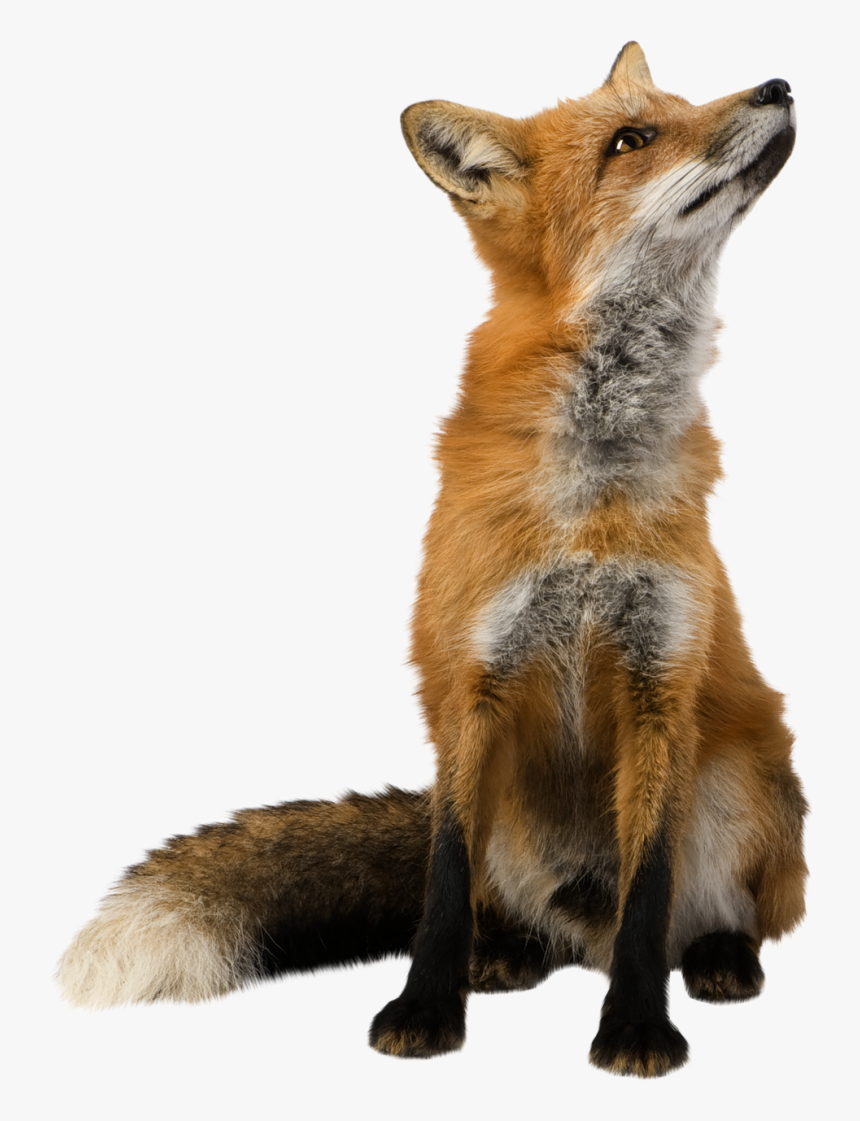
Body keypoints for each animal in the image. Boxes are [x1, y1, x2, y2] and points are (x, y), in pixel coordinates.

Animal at [57, 43, 807, 1078]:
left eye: (683, 101)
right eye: (633, 138)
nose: (779, 85)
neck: (590, 494)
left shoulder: (662, 680)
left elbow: (650, 887)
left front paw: (634, 1029)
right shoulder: (469, 680)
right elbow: (442, 882)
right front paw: (424, 1010)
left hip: (744, 783)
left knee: (698, 917)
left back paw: (718, 956)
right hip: (511, 819)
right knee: (508, 907)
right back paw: (507, 953)